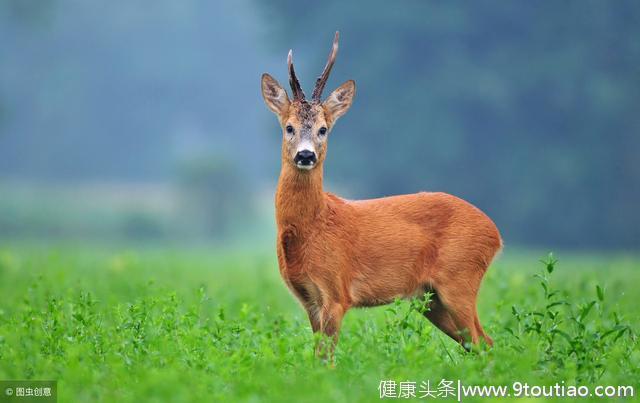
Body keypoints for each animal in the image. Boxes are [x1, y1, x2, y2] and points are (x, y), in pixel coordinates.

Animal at [260, 32, 500, 356]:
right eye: (289, 127)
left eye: (323, 129)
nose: (306, 155)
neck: (312, 225)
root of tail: (495, 233)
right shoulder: (309, 299)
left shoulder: (337, 292)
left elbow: (326, 359)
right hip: (431, 299)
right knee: (483, 343)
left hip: (459, 279)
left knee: (483, 342)